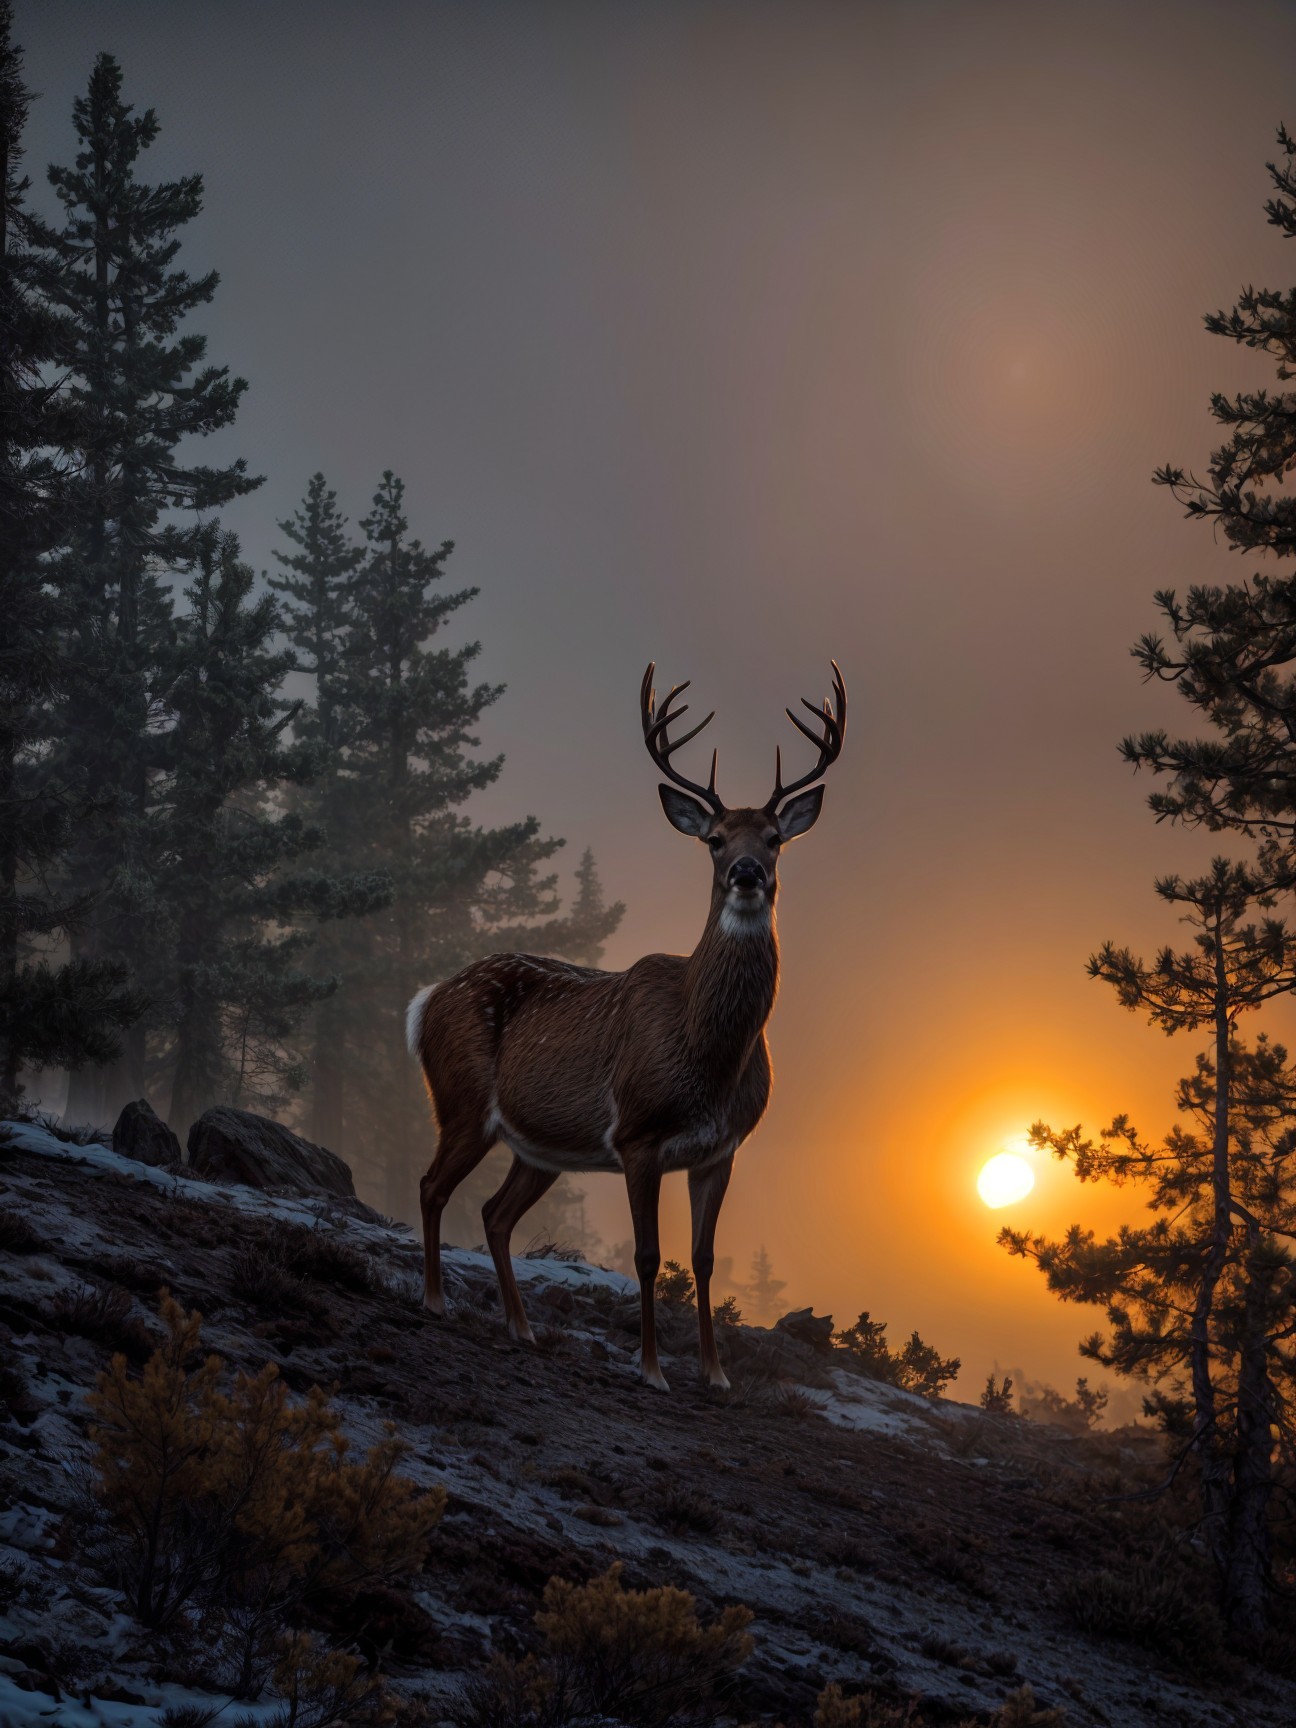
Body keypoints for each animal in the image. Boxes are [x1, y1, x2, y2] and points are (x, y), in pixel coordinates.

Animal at [406, 660, 846, 1391]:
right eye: (714, 839)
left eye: (776, 839)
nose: (746, 873)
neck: (708, 1056)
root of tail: (426, 1000)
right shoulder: (638, 1135)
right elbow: (647, 1256)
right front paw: (651, 1370)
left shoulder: (723, 1148)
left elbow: (702, 1258)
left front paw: (716, 1375)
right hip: (463, 1101)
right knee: (432, 1185)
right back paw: (436, 1301)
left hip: (540, 1146)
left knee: (495, 1215)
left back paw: (522, 1328)